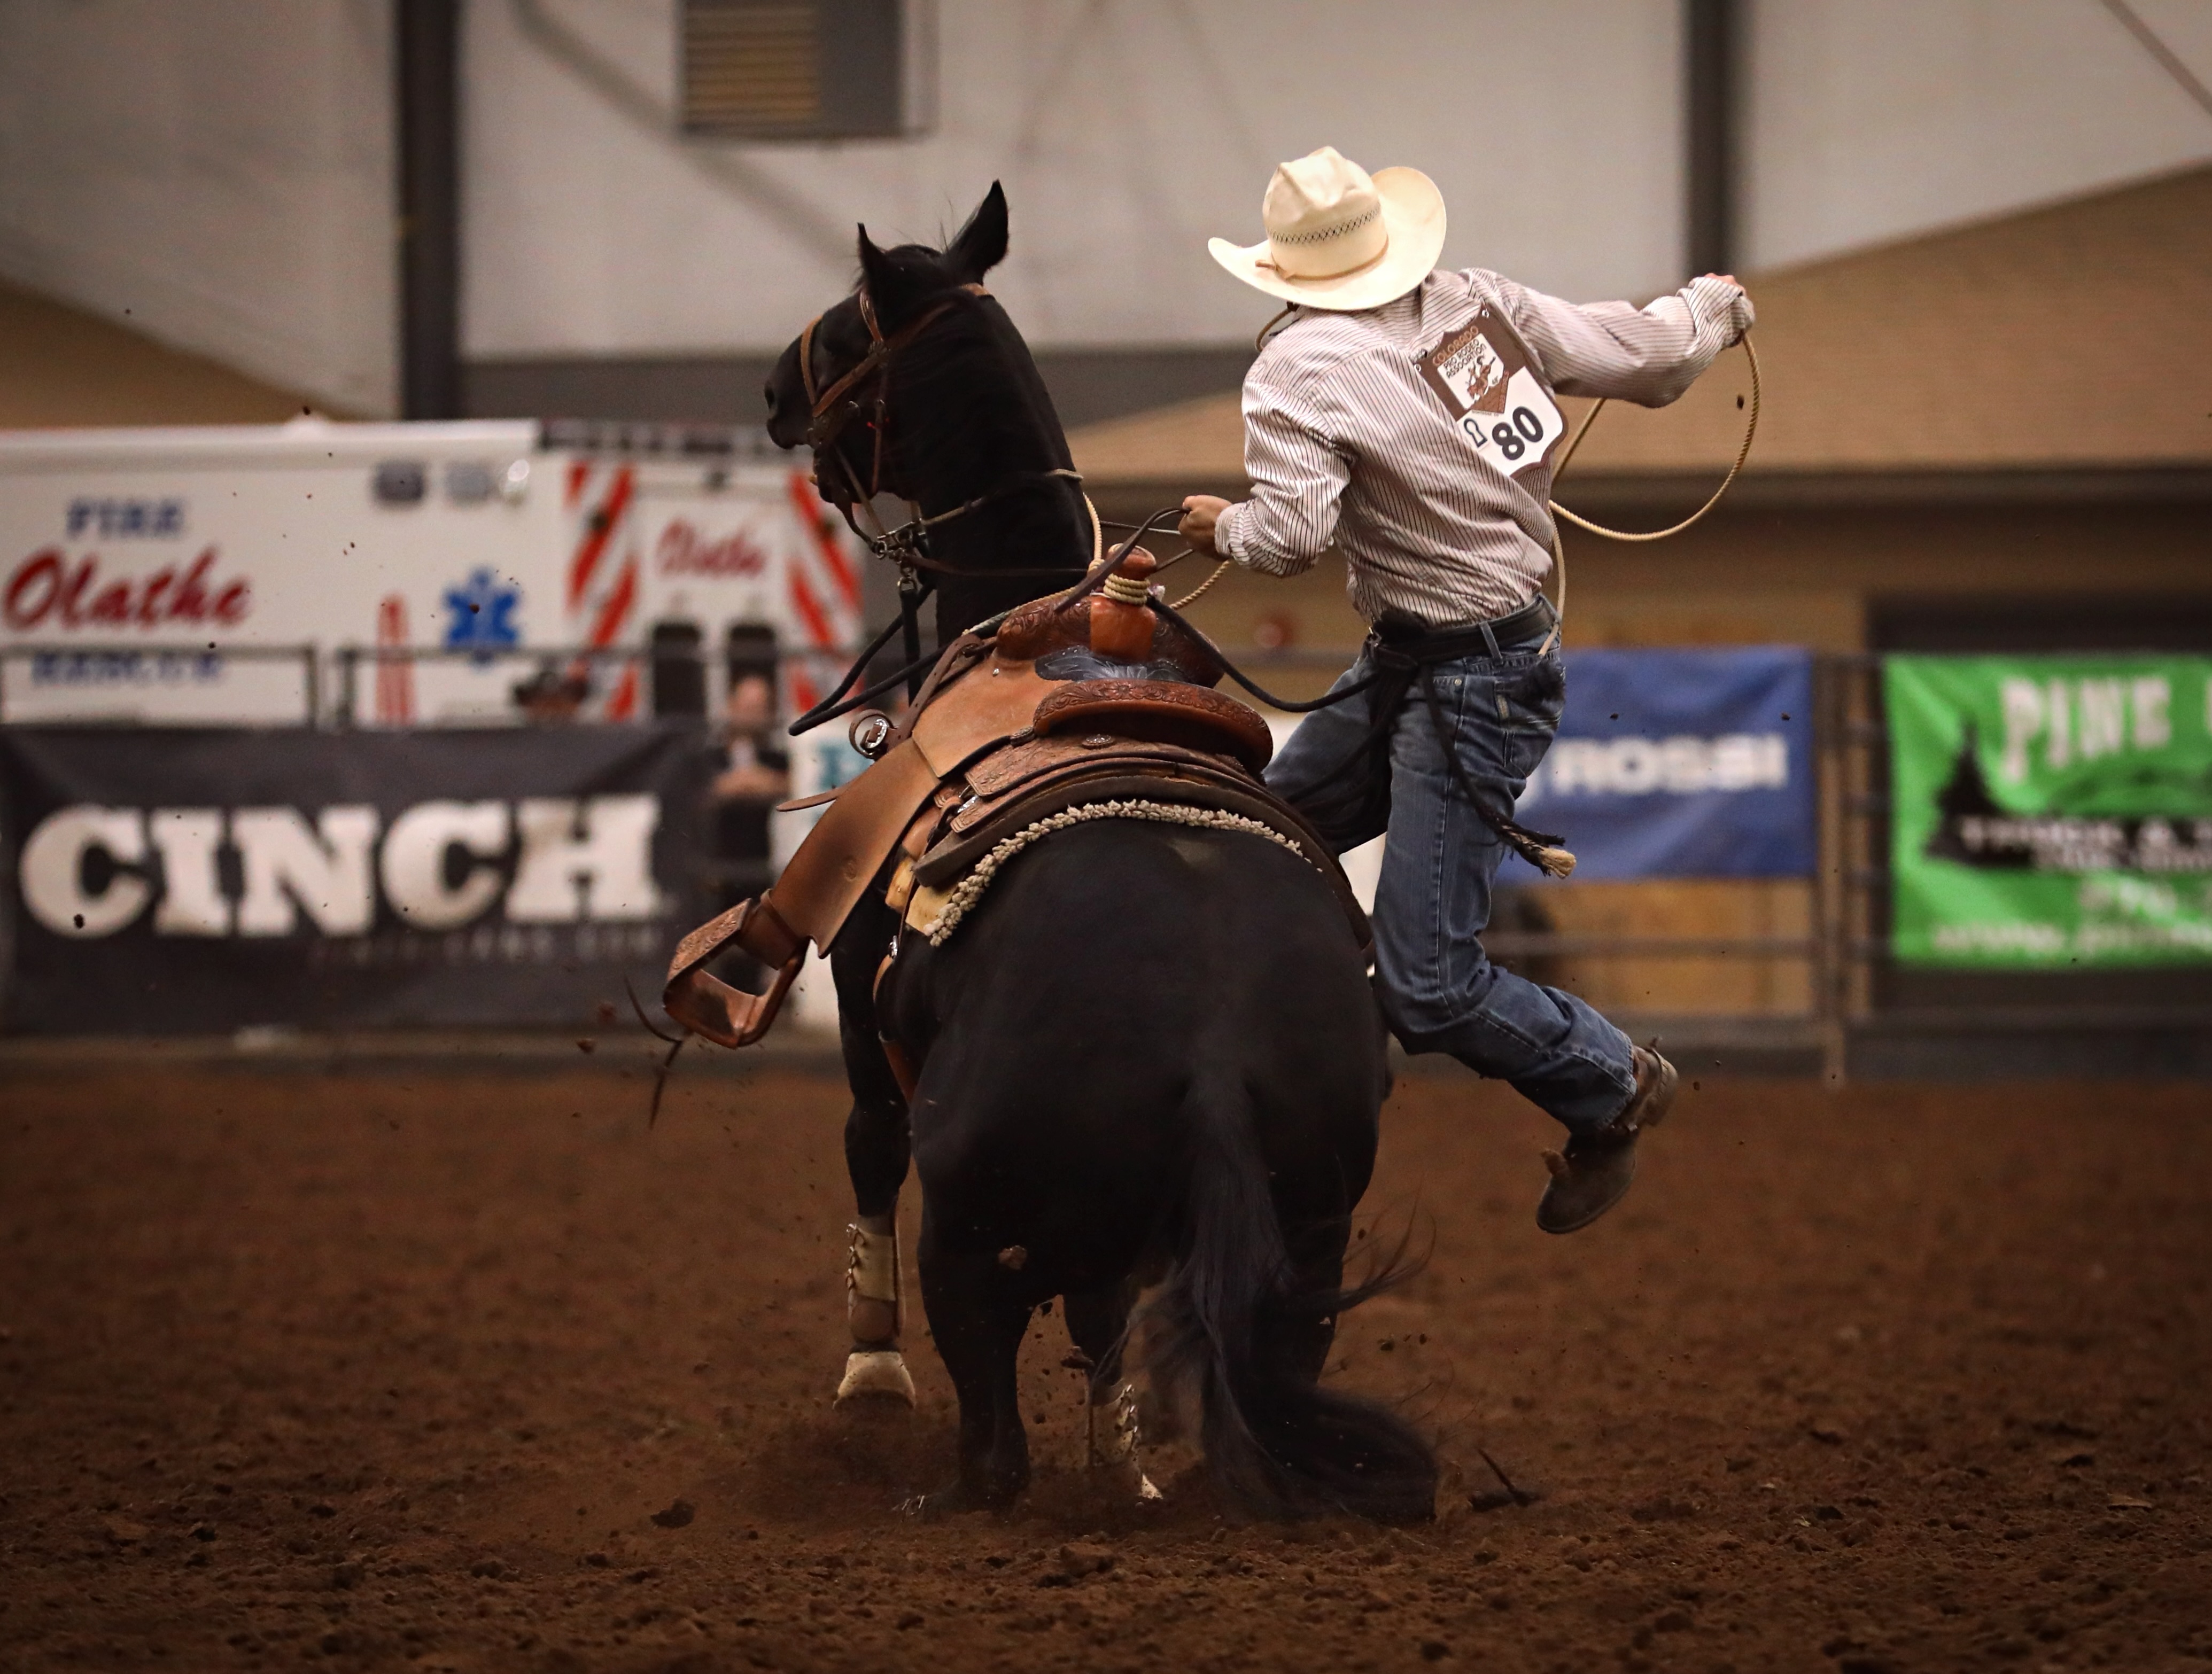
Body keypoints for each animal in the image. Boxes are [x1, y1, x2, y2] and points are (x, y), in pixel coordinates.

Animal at [760, 182, 1433, 1512]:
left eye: (845, 325)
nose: (768, 391)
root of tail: (1215, 1056)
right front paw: (1123, 1444)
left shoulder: (862, 1007)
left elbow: (862, 1143)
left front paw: (868, 1370)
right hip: (1308, 1236)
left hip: (971, 1226)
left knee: (993, 1437)